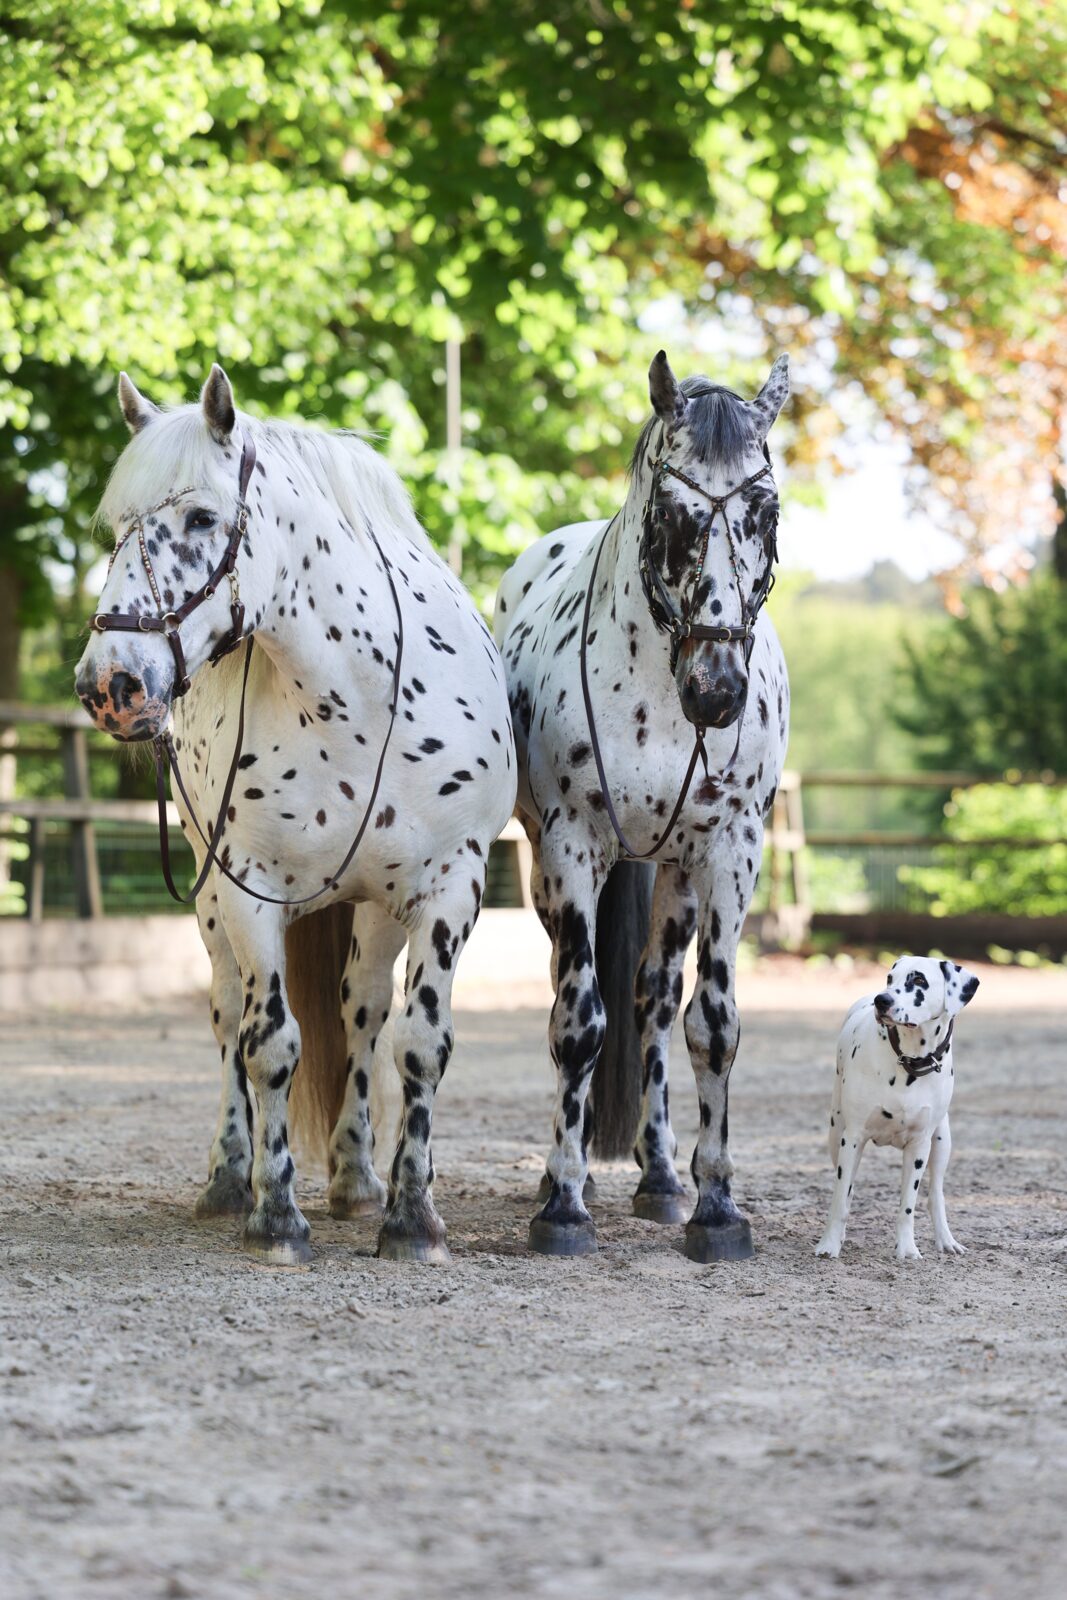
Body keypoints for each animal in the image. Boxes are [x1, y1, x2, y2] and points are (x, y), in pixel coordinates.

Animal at [75, 365, 516, 1265]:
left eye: (202, 517)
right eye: (117, 528)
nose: (111, 685)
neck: (355, 697)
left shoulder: (450, 889)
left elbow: (417, 1045)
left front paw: (411, 1217)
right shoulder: (248, 889)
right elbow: (268, 1043)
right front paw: (274, 1213)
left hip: (375, 908)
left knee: (361, 1014)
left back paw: (356, 1178)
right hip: (212, 903)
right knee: (228, 1015)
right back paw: (228, 1177)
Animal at [494, 350, 790, 1261]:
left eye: (766, 512)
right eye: (669, 513)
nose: (717, 691)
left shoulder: (728, 857)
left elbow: (711, 1024)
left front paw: (716, 1206)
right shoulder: (571, 850)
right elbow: (577, 1023)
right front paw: (562, 1204)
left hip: (675, 878)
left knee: (655, 1001)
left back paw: (661, 1176)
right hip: (554, 877)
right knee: (577, 996)